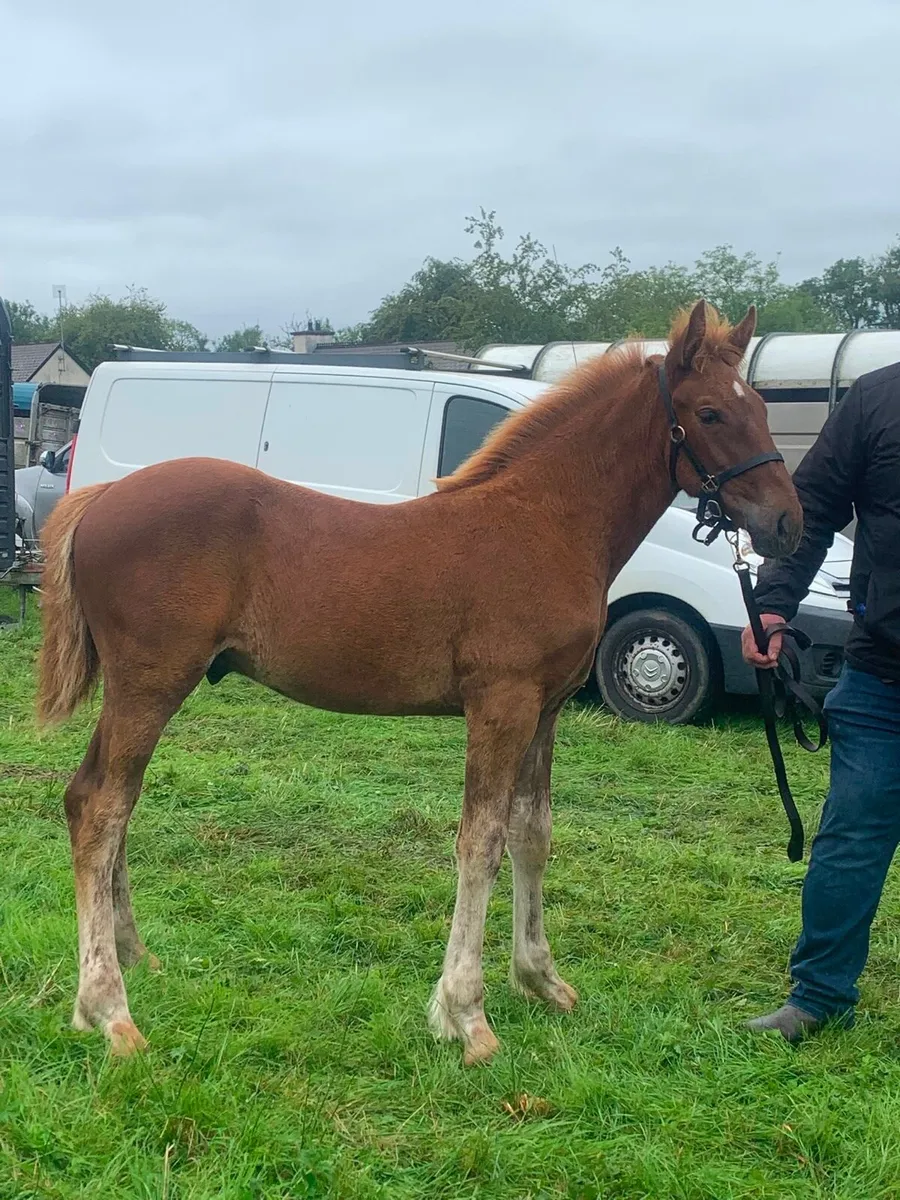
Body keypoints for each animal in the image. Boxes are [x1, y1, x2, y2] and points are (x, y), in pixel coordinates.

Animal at [37, 300, 801, 1065]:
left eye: (761, 406)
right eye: (709, 413)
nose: (787, 522)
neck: (545, 522)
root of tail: (104, 495)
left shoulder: (546, 709)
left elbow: (533, 833)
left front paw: (542, 981)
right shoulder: (501, 704)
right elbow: (481, 842)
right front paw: (466, 1015)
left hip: (143, 690)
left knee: (102, 798)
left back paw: (134, 957)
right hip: (151, 684)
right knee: (102, 807)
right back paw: (108, 1008)